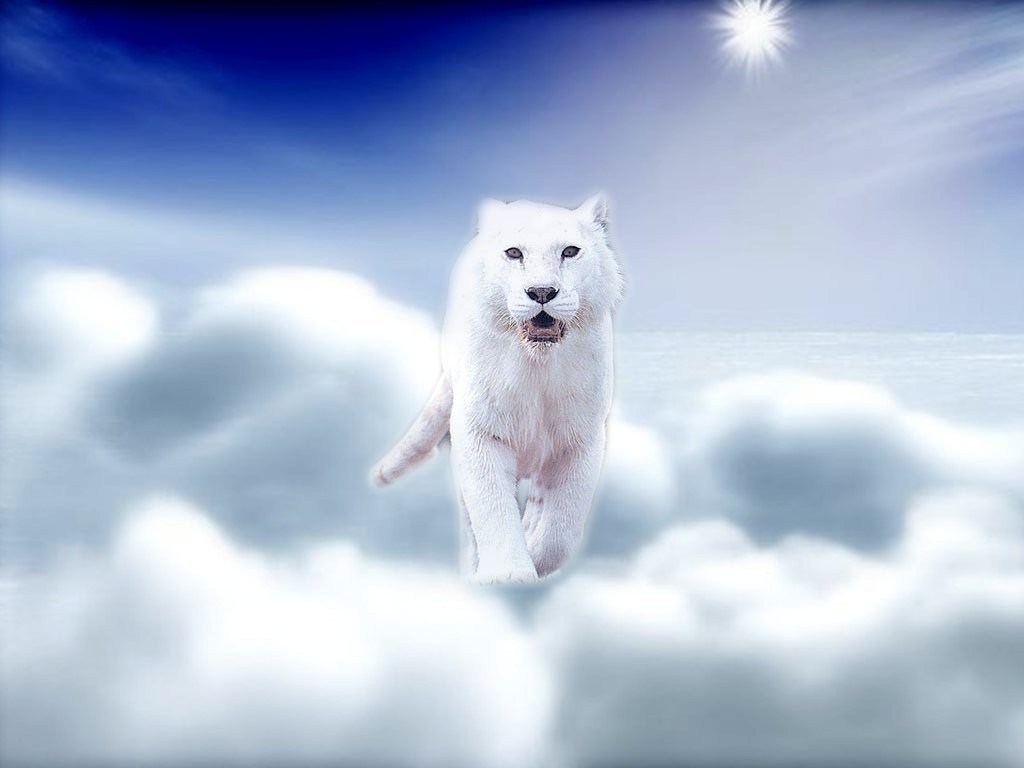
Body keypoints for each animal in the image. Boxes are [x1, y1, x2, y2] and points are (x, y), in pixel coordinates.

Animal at [372, 196, 624, 584]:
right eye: (514, 253)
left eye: (569, 251)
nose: (542, 292)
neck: (537, 368)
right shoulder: (479, 431)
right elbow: (490, 505)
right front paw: (509, 574)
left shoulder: (580, 437)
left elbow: (563, 526)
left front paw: (537, 557)